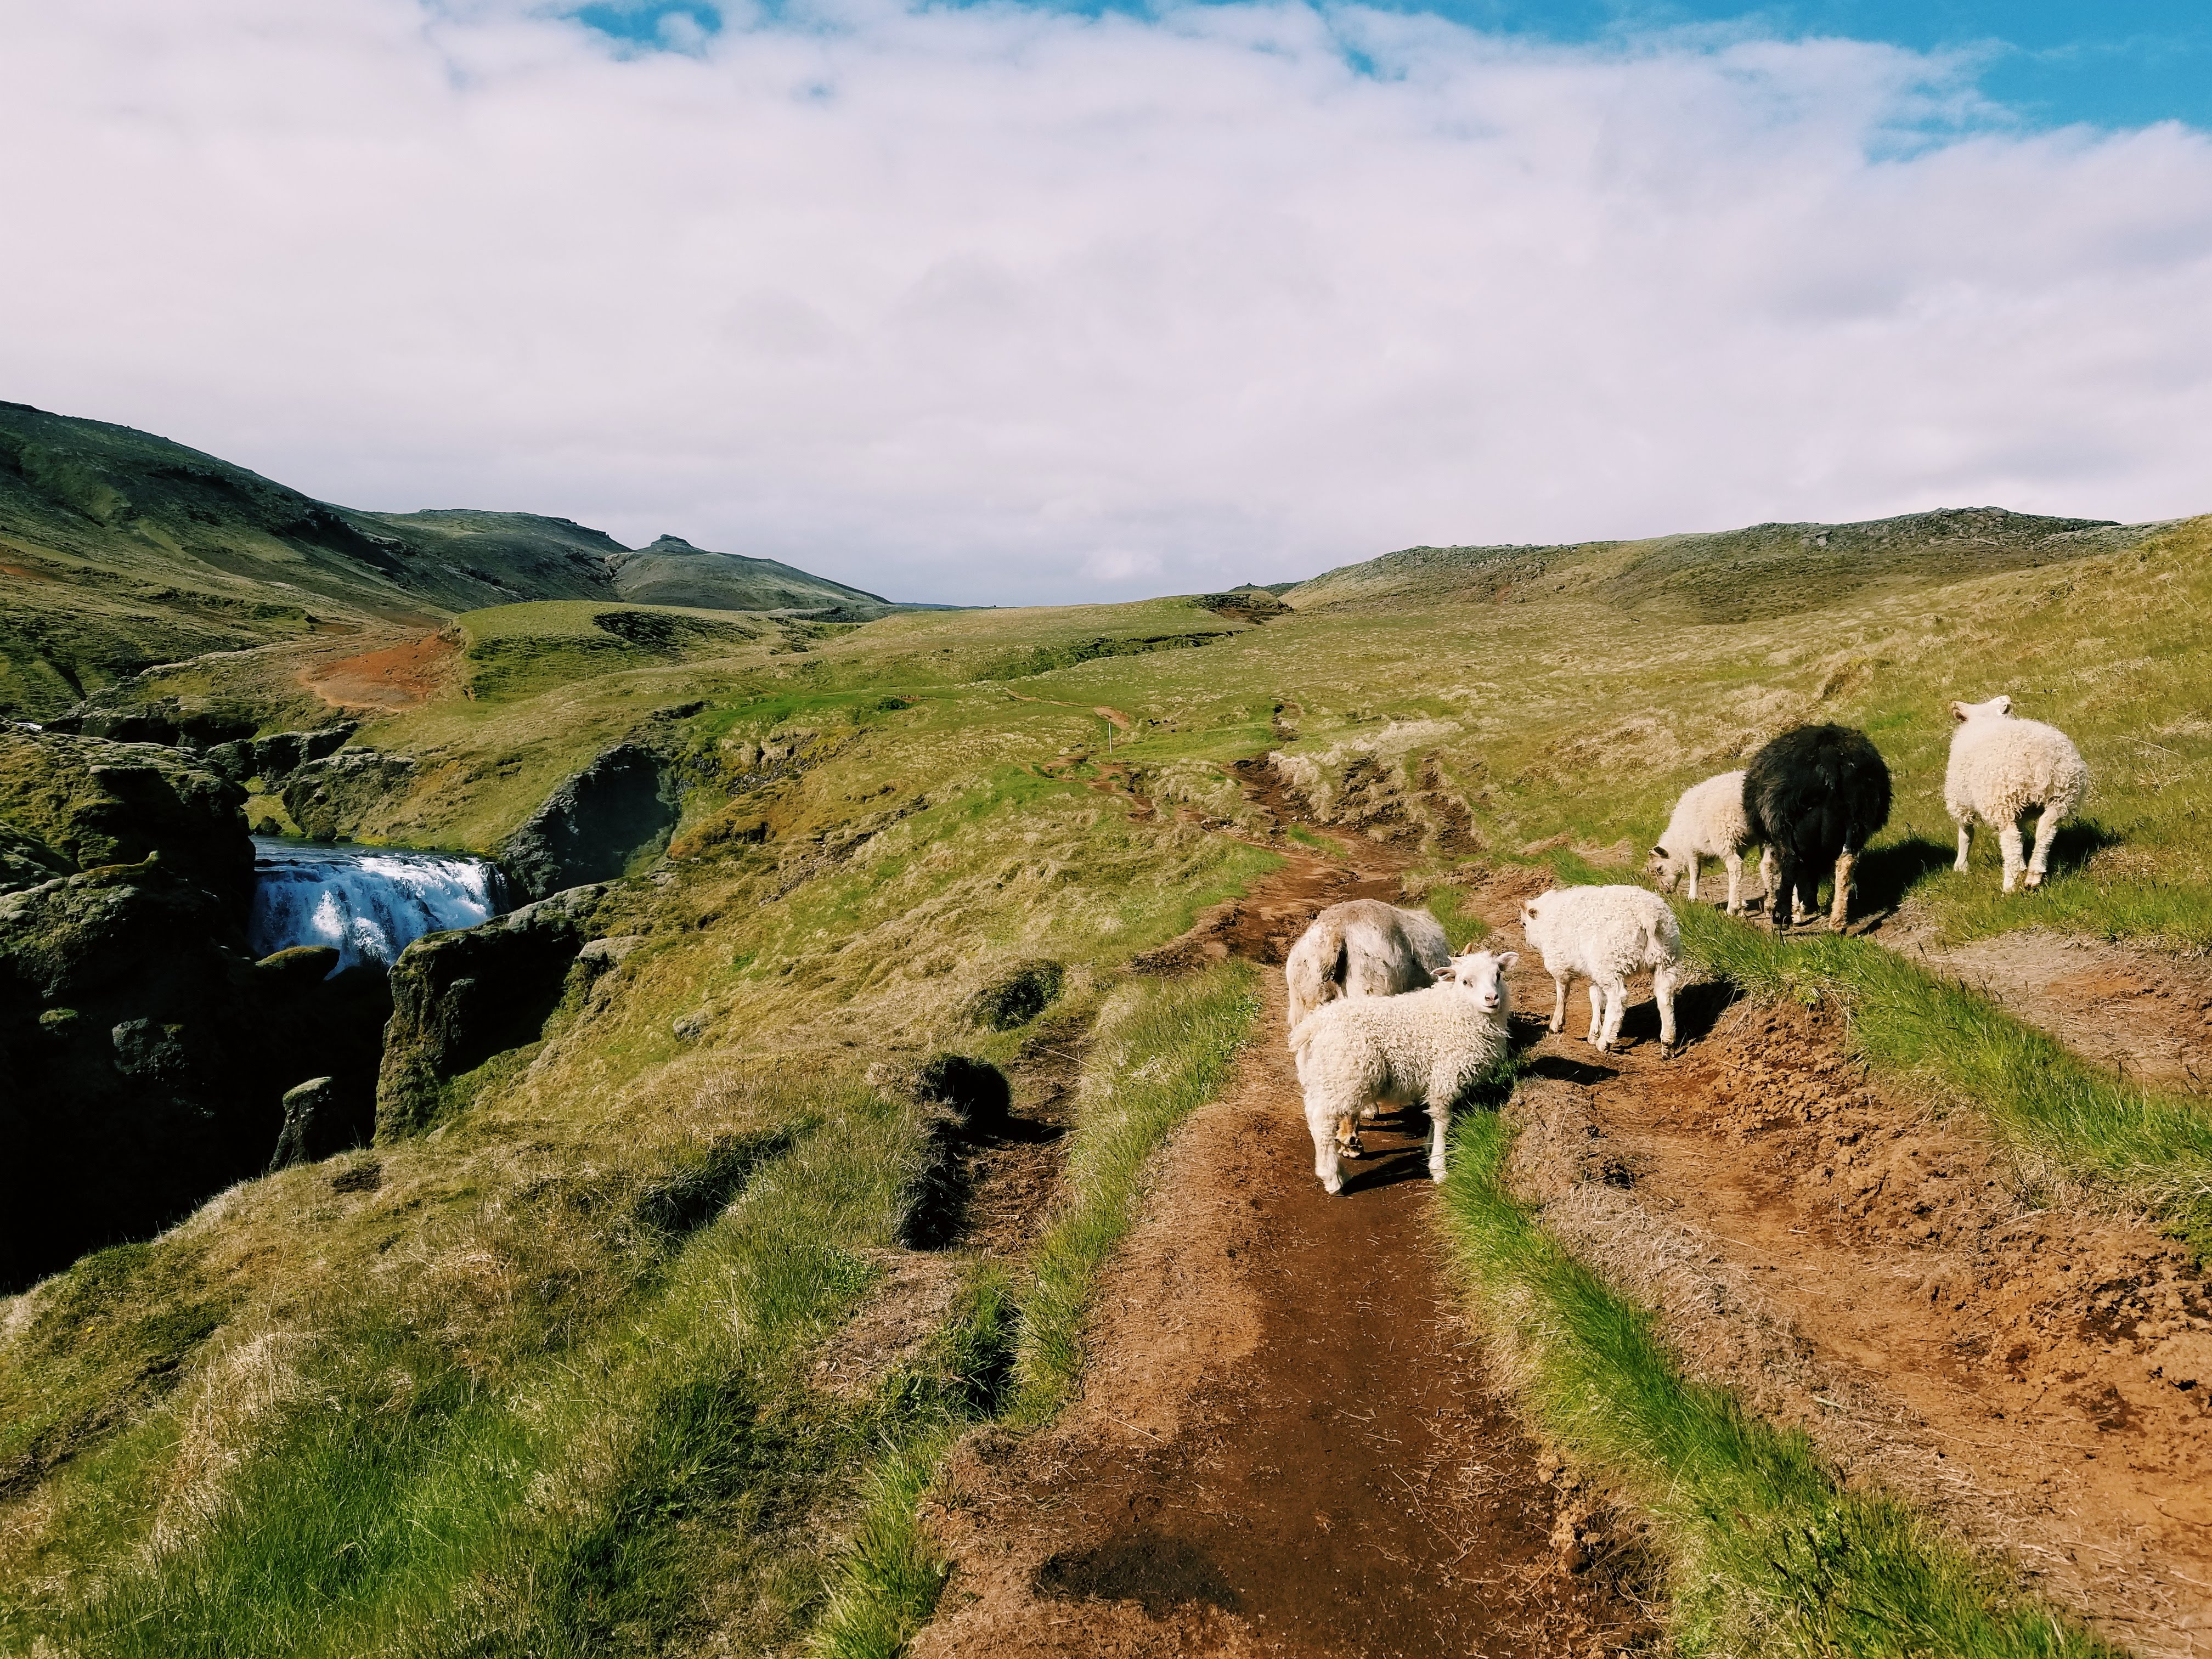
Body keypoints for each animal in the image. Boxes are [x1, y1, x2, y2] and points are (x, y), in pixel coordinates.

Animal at [1288, 949, 1516, 1195]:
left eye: (1498, 976)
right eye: (1466, 982)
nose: (1492, 999)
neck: (1452, 1010)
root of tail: (1316, 1023)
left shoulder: (1435, 1079)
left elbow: (1434, 1118)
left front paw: (1428, 1147)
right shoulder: (1444, 1076)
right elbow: (1443, 1120)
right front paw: (1439, 1167)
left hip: (1324, 1074)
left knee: (1313, 1113)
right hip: (1347, 1075)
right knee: (1322, 1120)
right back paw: (1333, 1178)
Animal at [1519, 885, 1685, 1055]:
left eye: (1524, 924)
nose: (1529, 943)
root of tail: (1648, 915)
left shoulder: (1560, 964)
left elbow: (1562, 995)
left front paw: (1557, 1024)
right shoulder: (1593, 973)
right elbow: (1596, 998)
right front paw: (1594, 1032)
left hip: (1611, 962)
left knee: (1618, 998)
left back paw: (1605, 1042)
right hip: (1665, 960)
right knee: (1665, 997)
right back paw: (1668, 1043)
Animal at [1646, 770, 1776, 914]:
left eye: (1659, 869)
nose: (1665, 890)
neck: (1677, 844)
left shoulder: (1691, 851)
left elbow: (1695, 873)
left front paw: (1692, 897)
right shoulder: (1739, 847)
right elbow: (1736, 876)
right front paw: (1741, 903)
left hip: (1724, 833)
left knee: (1735, 865)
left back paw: (1731, 909)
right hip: (1763, 834)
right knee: (1766, 864)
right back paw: (1769, 903)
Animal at [1741, 724, 1892, 930]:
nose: (1811, 904)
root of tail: (1829, 757)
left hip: (1782, 816)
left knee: (1792, 860)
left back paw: (1782, 917)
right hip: (1859, 816)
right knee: (1846, 861)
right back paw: (1837, 922)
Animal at [1944, 694, 2090, 893]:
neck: (1985, 719)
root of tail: (2039, 758)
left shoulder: (1960, 802)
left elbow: (1966, 834)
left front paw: (1961, 866)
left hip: (2002, 801)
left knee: (2010, 839)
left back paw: (2010, 884)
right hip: (2062, 796)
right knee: (2046, 830)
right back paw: (2033, 874)